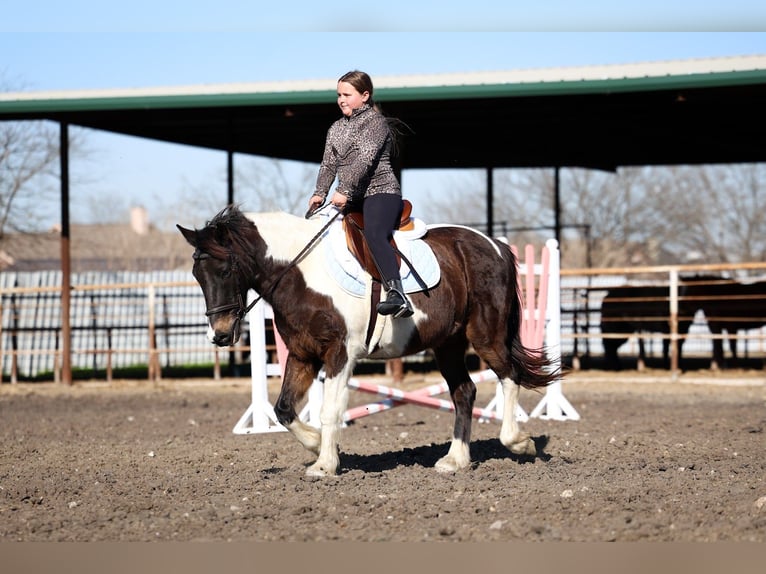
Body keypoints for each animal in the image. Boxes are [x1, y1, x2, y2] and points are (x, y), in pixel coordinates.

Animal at [177, 204, 559, 477]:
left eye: (225, 270)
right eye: (197, 274)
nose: (220, 334)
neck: (301, 273)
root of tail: (497, 246)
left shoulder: (339, 354)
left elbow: (330, 410)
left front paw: (324, 464)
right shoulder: (302, 355)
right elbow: (284, 409)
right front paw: (316, 445)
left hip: (485, 335)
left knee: (509, 376)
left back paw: (518, 443)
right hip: (447, 344)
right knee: (464, 391)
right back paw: (455, 460)